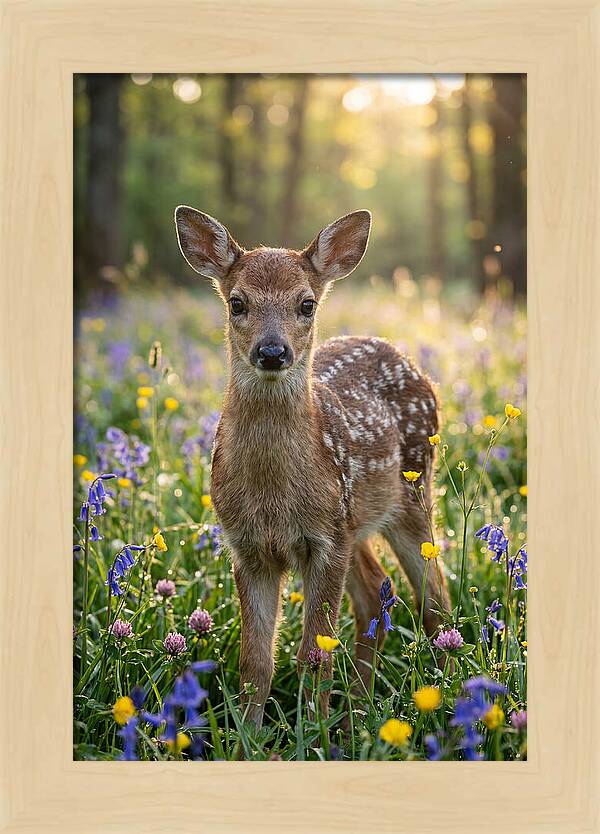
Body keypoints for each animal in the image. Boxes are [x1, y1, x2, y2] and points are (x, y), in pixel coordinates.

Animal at [174, 206, 450, 730]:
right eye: (236, 303)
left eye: (306, 304)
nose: (272, 351)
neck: (273, 495)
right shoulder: (248, 547)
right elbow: (255, 661)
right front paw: (249, 736)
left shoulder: (324, 540)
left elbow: (313, 654)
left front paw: (312, 733)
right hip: (355, 522)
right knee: (375, 593)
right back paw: (358, 711)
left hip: (410, 494)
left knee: (435, 600)